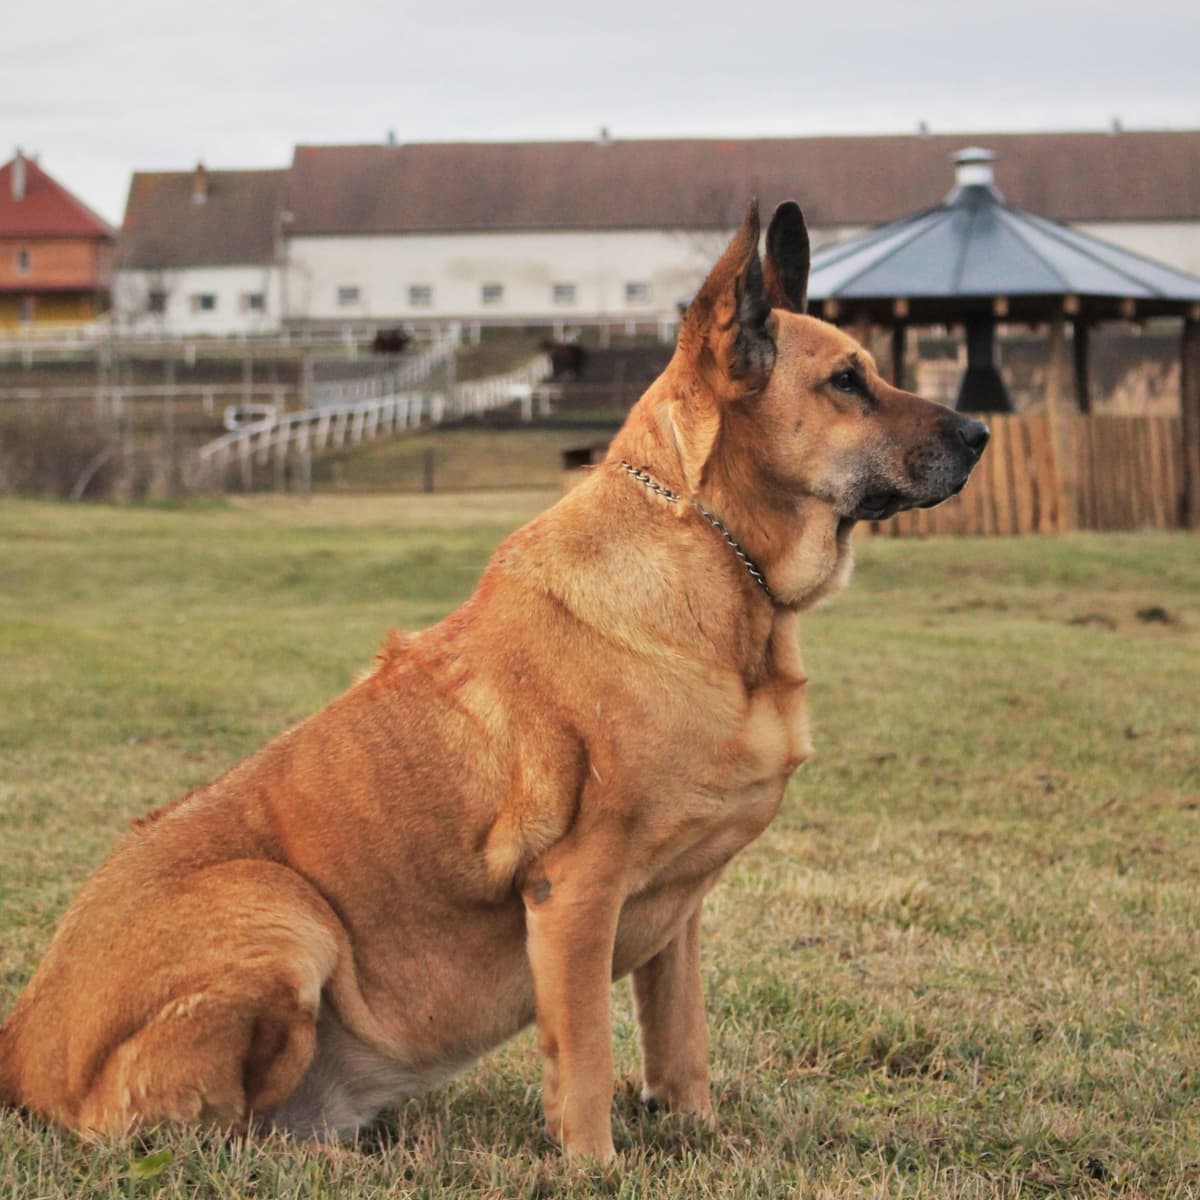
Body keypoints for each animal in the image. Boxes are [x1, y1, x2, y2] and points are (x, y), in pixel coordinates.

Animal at [0, 201, 988, 1156]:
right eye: (847, 382)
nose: (981, 432)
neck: (714, 552)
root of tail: (19, 1048)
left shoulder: (677, 917)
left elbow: (682, 1045)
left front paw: (695, 1135)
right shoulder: (576, 894)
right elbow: (585, 1057)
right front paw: (594, 1170)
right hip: (285, 913)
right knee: (200, 1134)